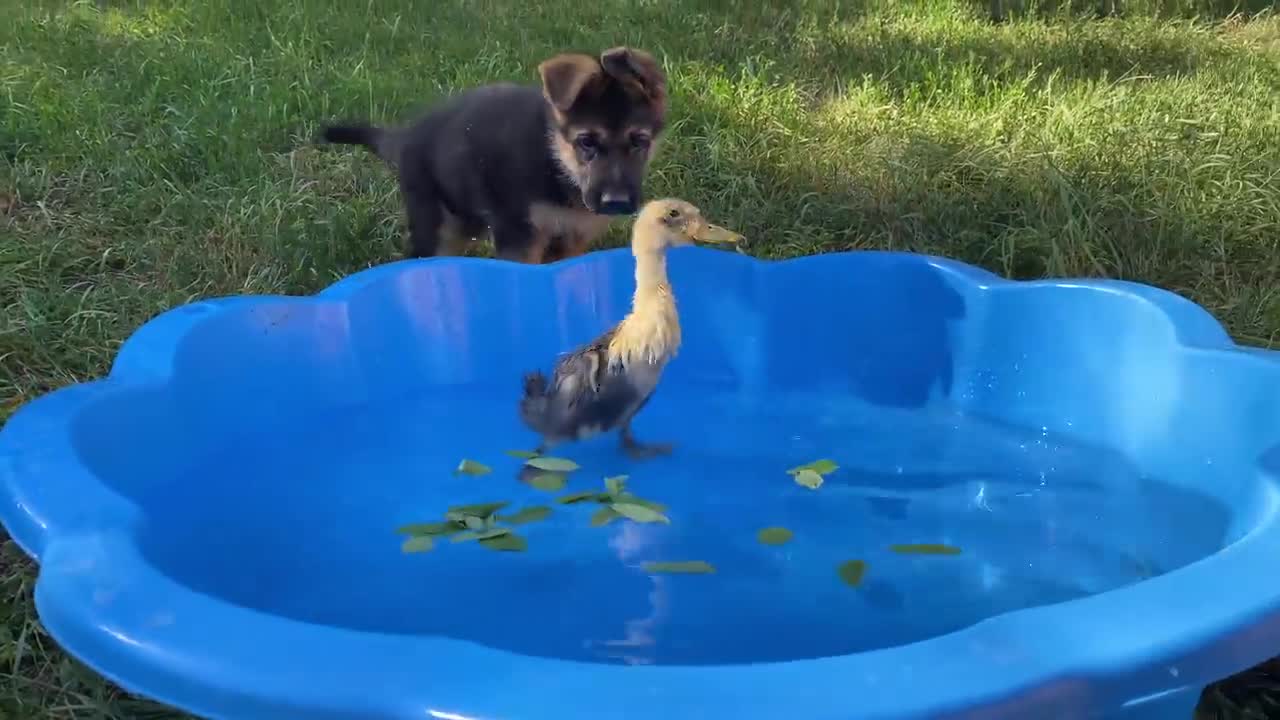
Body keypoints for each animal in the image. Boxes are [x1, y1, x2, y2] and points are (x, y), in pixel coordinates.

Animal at [320, 47, 670, 263]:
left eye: (639, 141)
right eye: (586, 142)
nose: (616, 203)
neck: (557, 161)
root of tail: (406, 136)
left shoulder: (571, 238)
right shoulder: (520, 237)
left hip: (465, 219)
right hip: (436, 224)